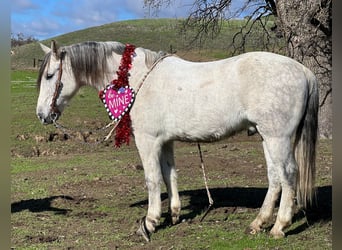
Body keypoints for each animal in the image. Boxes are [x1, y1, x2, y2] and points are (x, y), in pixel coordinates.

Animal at [36, 40, 316, 240]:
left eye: (50, 75)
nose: (42, 115)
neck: (137, 80)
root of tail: (303, 70)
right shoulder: (166, 142)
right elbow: (170, 175)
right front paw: (174, 214)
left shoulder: (148, 141)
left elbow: (152, 180)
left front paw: (149, 222)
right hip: (266, 137)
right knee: (275, 177)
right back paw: (258, 223)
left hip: (278, 138)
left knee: (289, 175)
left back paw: (279, 226)